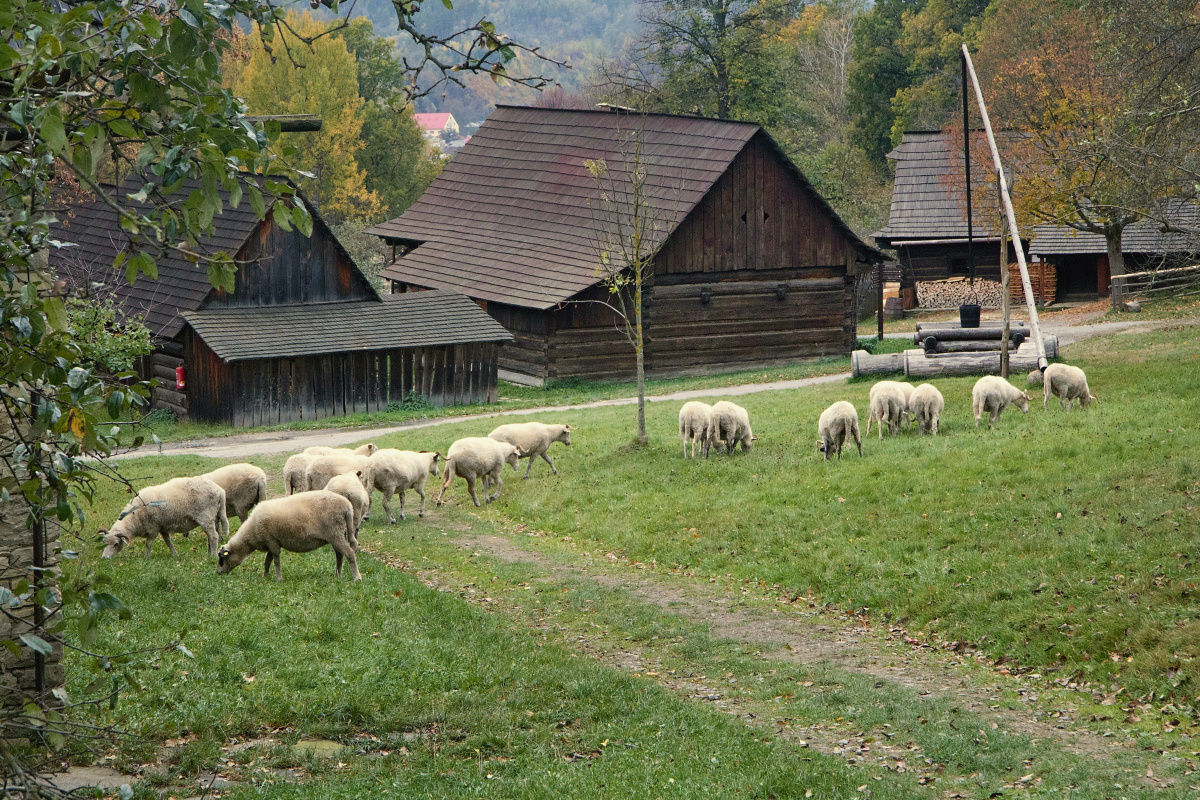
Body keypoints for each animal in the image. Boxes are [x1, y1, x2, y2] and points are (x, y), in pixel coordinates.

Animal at [100, 479, 229, 561]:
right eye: (103, 543)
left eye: (116, 544)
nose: (104, 558)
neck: (135, 517)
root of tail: (219, 490)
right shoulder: (162, 527)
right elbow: (168, 541)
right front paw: (175, 555)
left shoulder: (153, 528)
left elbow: (148, 544)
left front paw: (146, 558)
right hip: (212, 517)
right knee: (210, 536)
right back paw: (209, 553)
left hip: (206, 516)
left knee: (214, 536)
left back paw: (212, 556)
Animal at [216, 489, 357, 582]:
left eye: (222, 559)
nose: (218, 573)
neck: (251, 532)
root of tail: (348, 507)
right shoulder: (271, 541)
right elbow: (267, 561)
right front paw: (265, 575)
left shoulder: (271, 541)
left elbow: (276, 560)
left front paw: (279, 578)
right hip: (338, 534)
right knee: (340, 554)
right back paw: (338, 574)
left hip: (335, 532)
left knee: (349, 553)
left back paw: (357, 577)